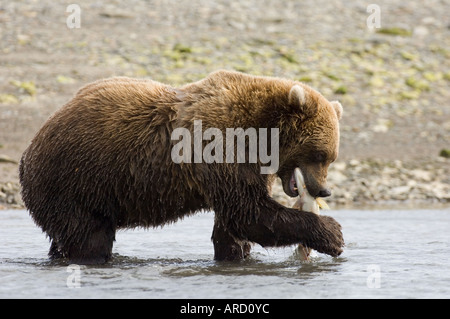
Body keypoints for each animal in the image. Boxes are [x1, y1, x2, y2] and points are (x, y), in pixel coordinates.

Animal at [19, 70, 344, 264]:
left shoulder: (247, 167)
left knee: (63, 237)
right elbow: (249, 212)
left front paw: (235, 255)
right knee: (90, 238)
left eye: (331, 157)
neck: (261, 136)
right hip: (72, 183)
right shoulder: (221, 147)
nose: (323, 190)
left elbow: (234, 224)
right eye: (319, 154)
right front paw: (333, 233)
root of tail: (29, 149)